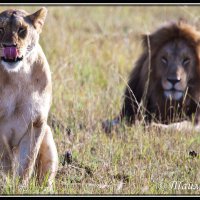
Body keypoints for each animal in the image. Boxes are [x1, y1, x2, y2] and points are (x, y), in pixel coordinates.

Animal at [0, 7, 58, 186]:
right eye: (0, 29)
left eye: (21, 30)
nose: (9, 46)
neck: (19, 75)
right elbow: (6, 161)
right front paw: (7, 183)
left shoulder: (36, 123)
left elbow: (27, 161)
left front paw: (21, 186)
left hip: (48, 135)